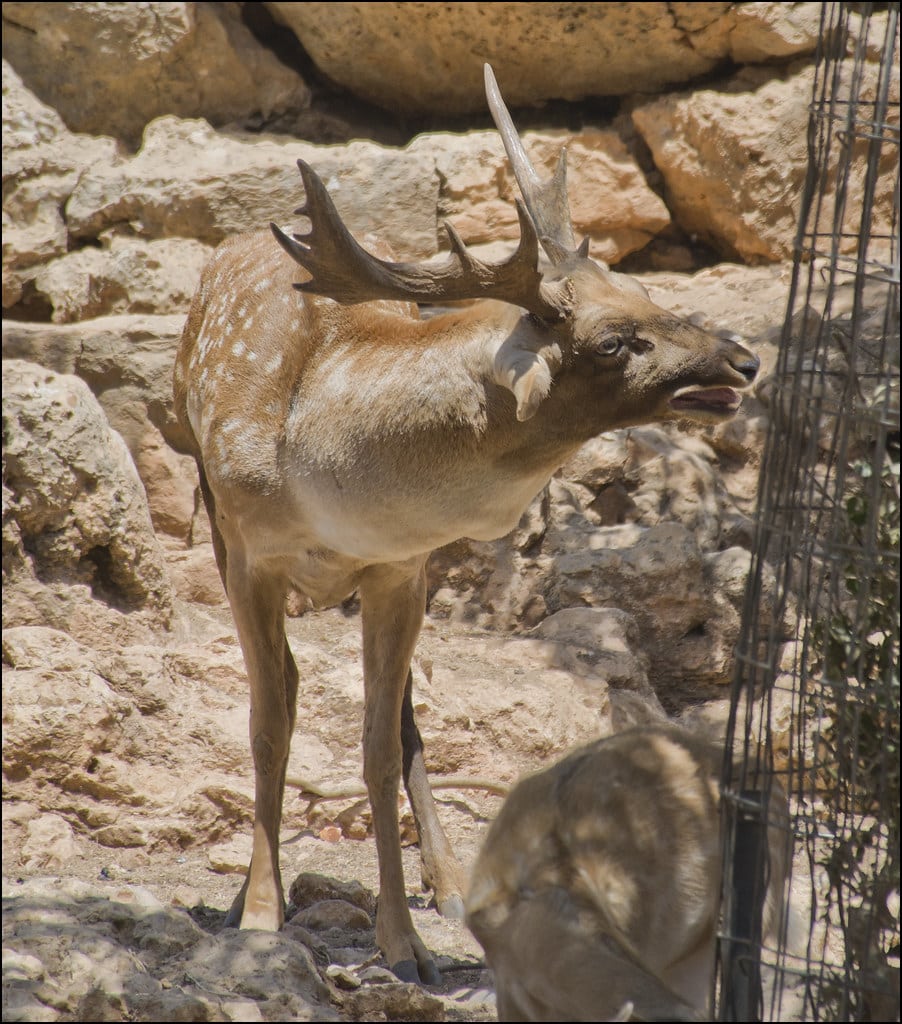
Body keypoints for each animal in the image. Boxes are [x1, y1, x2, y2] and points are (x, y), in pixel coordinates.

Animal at [172, 64, 761, 986]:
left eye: (647, 290)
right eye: (612, 340)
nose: (743, 359)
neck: (324, 474)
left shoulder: (398, 568)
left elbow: (380, 747)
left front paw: (405, 945)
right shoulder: (249, 551)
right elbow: (268, 726)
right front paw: (260, 915)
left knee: (402, 719)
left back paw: (448, 887)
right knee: (294, 691)